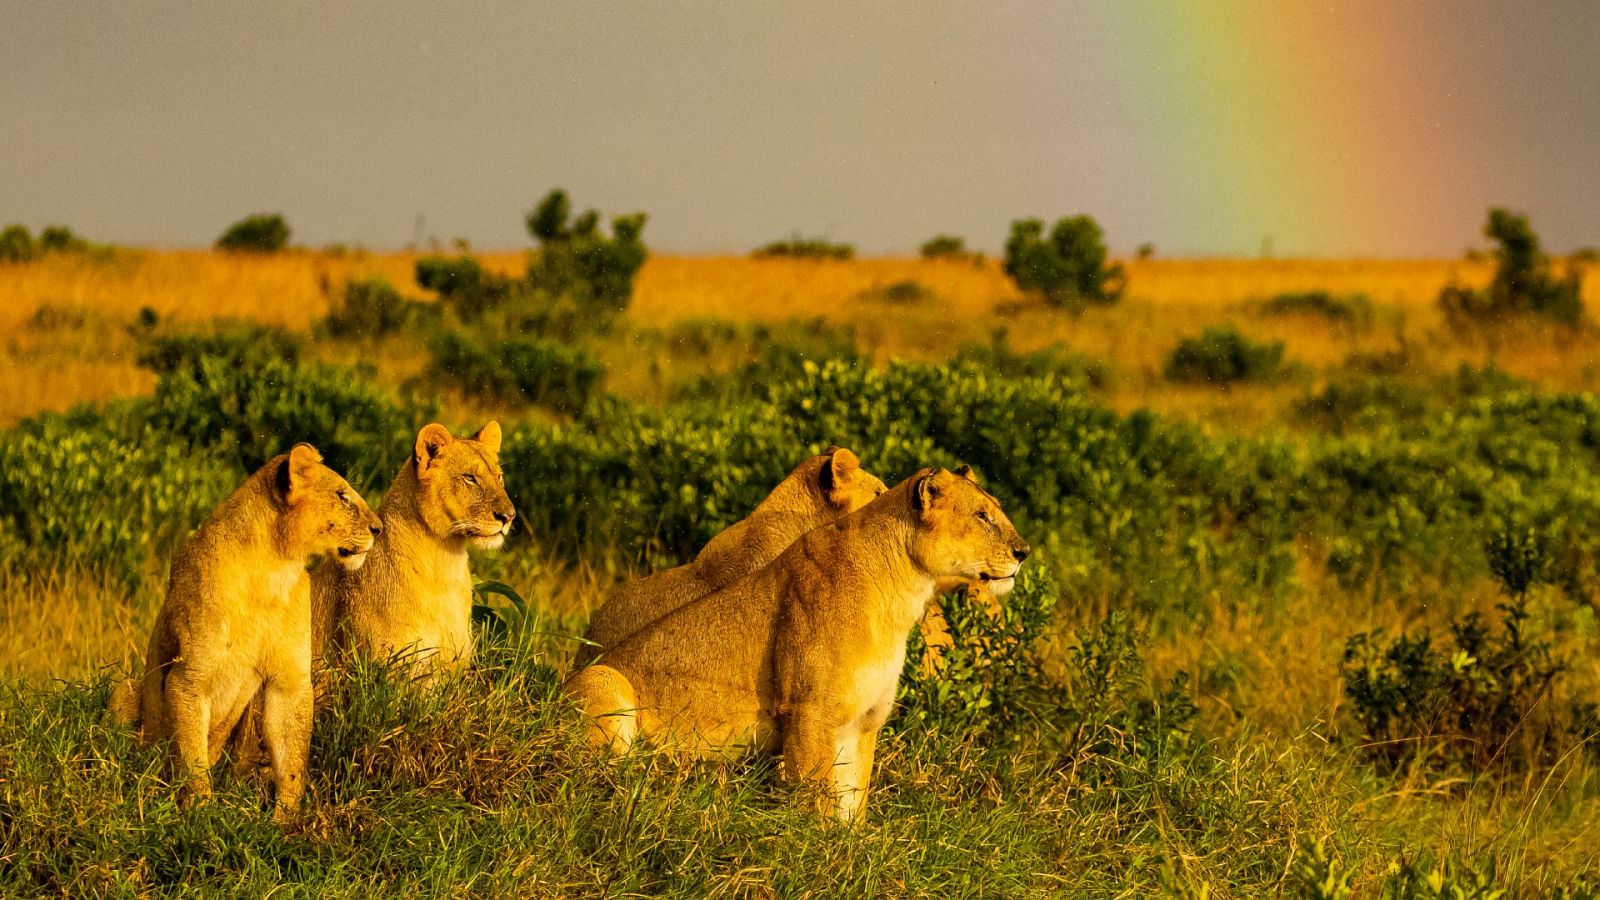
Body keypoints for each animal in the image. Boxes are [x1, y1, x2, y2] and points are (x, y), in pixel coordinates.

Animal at [116, 443, 380, 822]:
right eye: (342, 496)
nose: (379, 529)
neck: (271, 568)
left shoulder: (290, 681)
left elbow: (292, 757)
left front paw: (285, 821)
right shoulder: (187, 678)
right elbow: (192, 756)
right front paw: (200, 814)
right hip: (125, 691)